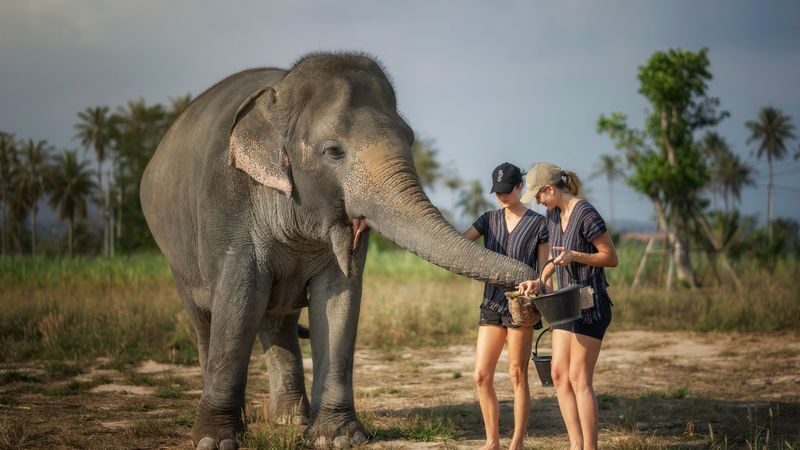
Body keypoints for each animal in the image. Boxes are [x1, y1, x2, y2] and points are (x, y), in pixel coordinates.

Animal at [140, 52, 536, 449]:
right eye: (333, 152)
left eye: (410, 138)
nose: (531, 284)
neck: (279, 96)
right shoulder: (226, 205)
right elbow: (239, 300)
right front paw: (216, 441)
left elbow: (338, 298)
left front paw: (338, 438)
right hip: (176, 255)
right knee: (207, 320)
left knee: (277, 319)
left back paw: (290, 420)